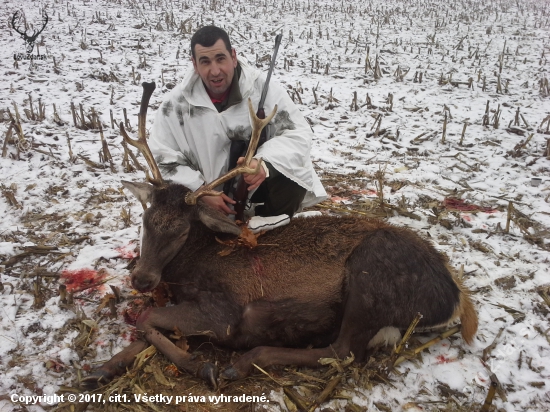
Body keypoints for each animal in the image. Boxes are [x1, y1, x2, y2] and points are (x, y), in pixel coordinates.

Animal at [82, 83, 478, 390]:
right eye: (145, 219)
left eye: (181, 230)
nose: (142, 278)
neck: (189, 272)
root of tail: (455, 297)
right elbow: (144, 327)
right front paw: (100, 369)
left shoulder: (222, 313)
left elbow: (147, 319)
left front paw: (202, 365)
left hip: (370, 281)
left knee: (343, 351)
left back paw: (242, 363)